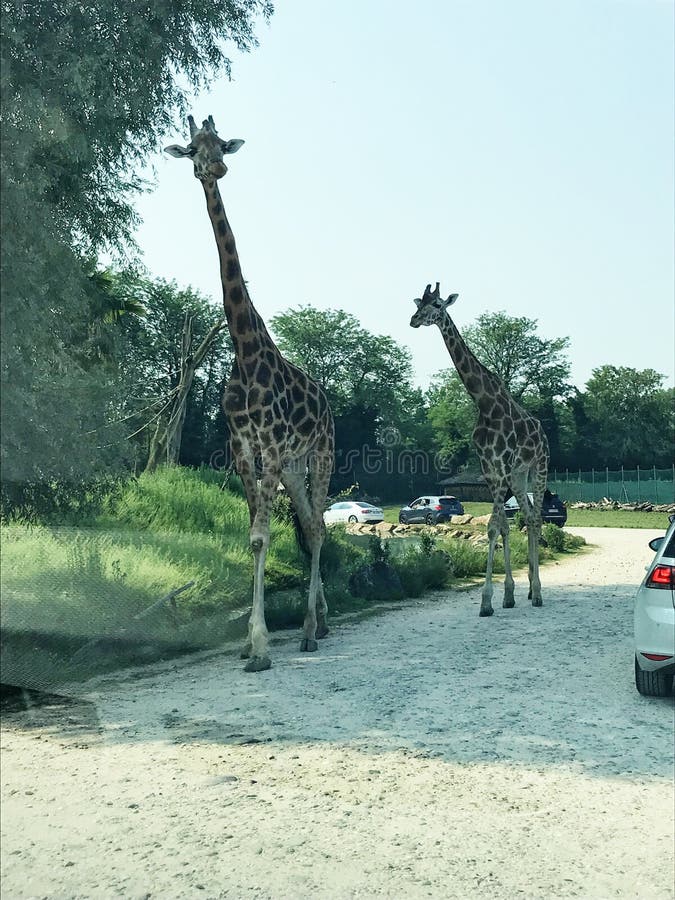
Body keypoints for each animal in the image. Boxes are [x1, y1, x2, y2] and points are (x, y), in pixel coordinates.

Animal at [166, 116, 336, 672]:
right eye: (191, 149)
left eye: (221, 143)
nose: (214, 168)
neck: (243, 351)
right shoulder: (242, 446)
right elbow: (252, 534)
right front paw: (248, 641)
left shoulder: (271, 444)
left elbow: (263, 536)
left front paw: (260, 645)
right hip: (294, 467)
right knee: (309, 524)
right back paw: (319, 622)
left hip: (318, 455)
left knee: (318, 526)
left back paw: (308, 630)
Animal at [412, 284, 548, 616]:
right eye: (419, 303)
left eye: (437, 304)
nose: (413, 320)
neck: (484, 402)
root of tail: (542, 431)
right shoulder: (490, 468)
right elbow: (501, 526)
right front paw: (507, 595)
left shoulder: (502, 464)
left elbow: (493, 525)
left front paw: (487, 601)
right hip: (518, 475)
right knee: (527, 517)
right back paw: (529, 589)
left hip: (539, 467)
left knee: (537, 518)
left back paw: (538, 592)